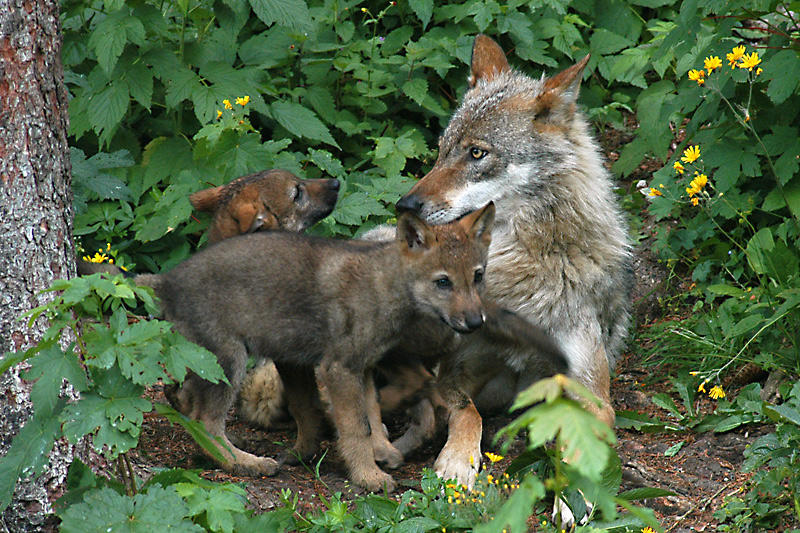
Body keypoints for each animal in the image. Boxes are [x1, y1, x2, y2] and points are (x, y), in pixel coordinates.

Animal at [394, 32, 632, 482]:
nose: (406, 205)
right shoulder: (457, 370)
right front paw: (457, 463)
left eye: (476, 154)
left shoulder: (589, 390)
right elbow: (467, 413)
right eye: (441, 150)